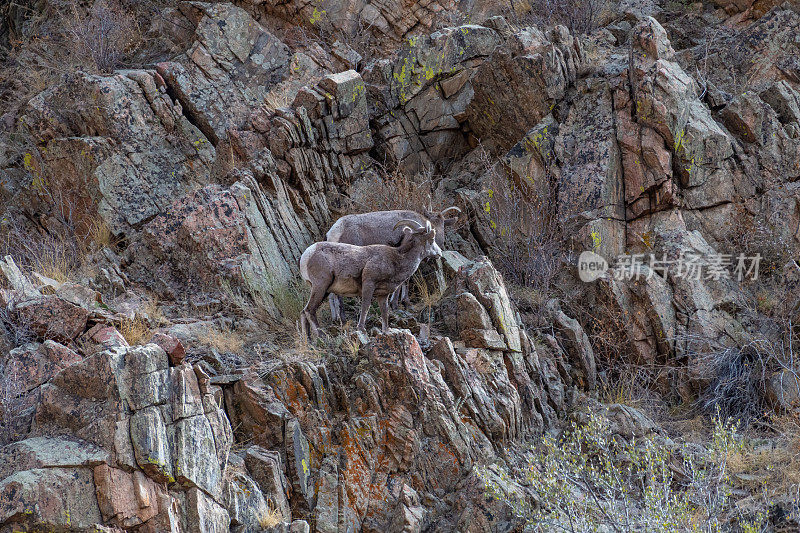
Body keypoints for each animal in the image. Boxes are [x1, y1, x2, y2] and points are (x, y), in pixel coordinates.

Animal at [300, 217, 444, 336]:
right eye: (432, 240)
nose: (439, 253)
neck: (397, 260)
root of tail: (306, 255)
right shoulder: (369, 284)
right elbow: (366, 306)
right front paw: (362, 329)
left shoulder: (383, 295)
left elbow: (385, 311)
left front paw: (386, 331)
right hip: (321, 287)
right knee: (309, 310)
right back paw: (321, 336)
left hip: (323, 290)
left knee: (303, 312)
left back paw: (309, 341)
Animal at [324, 205, 460, 320]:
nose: (439, 251)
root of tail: (335, 231)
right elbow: (404, 281)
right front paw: (399, 304)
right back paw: (342, 318)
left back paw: (335, 318)